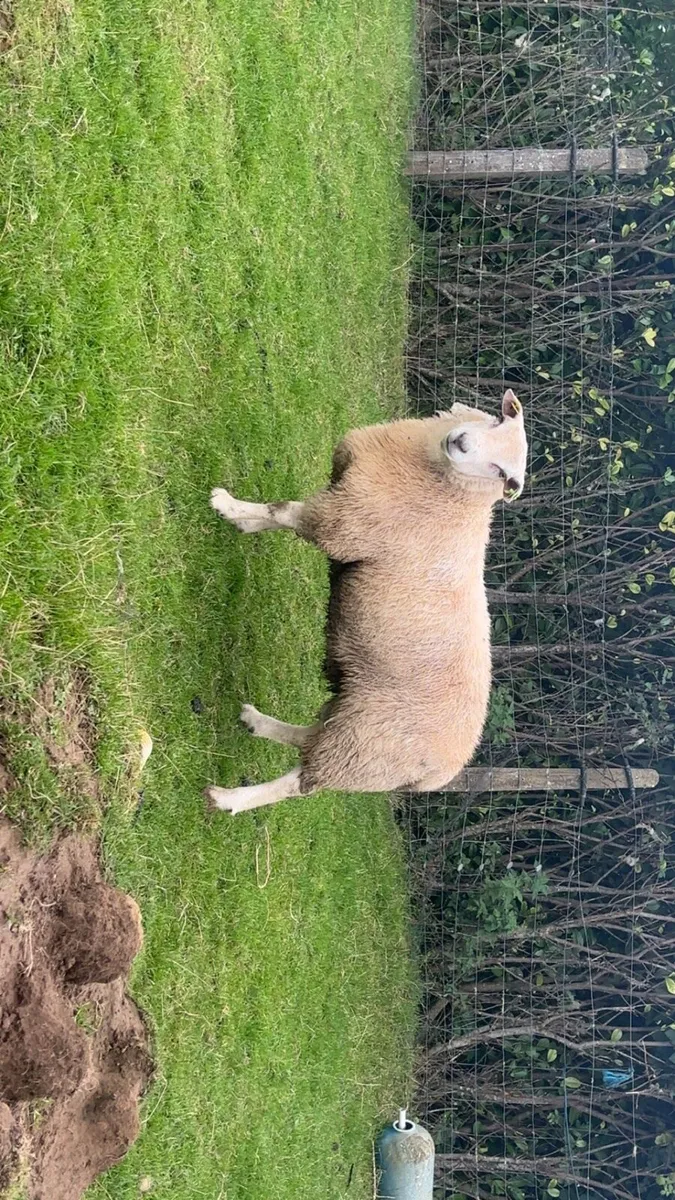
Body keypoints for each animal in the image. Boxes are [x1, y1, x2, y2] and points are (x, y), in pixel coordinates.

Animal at [205, 390, 528, 815]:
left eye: (500, 472)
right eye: (497, 422)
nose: (460, 443)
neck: (453, 496)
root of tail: (440, 775)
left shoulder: (346, 521)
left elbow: (282, 510)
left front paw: (229, 508)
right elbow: (280, 514)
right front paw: (245, 520)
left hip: (367, 744)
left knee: (301, 783)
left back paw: (229, 798)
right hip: (357, 721)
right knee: (312, 736)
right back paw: (255, 722)